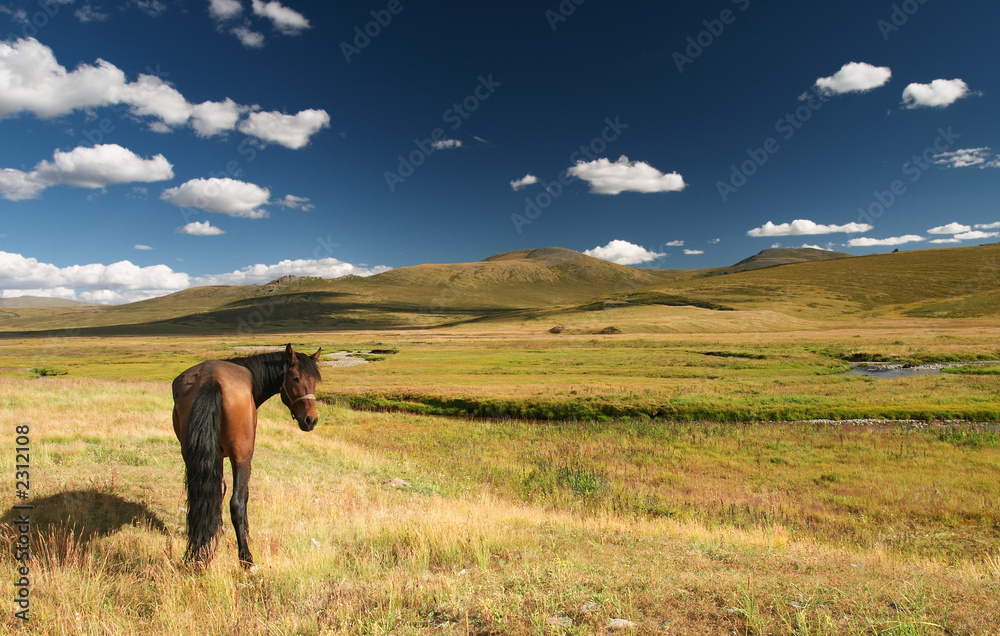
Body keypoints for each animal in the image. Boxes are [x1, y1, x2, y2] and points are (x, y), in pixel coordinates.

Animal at [170, 342, 322, 568]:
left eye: (315, 381)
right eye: (295, 378)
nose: (311, 420)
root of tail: (210, 380)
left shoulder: (214, 458)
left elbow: (216, 492)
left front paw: (217, 531)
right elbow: (243, 496)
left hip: (191, 456)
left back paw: (200, 550)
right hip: (242, 457)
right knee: (237, 504)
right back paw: (246, 558)